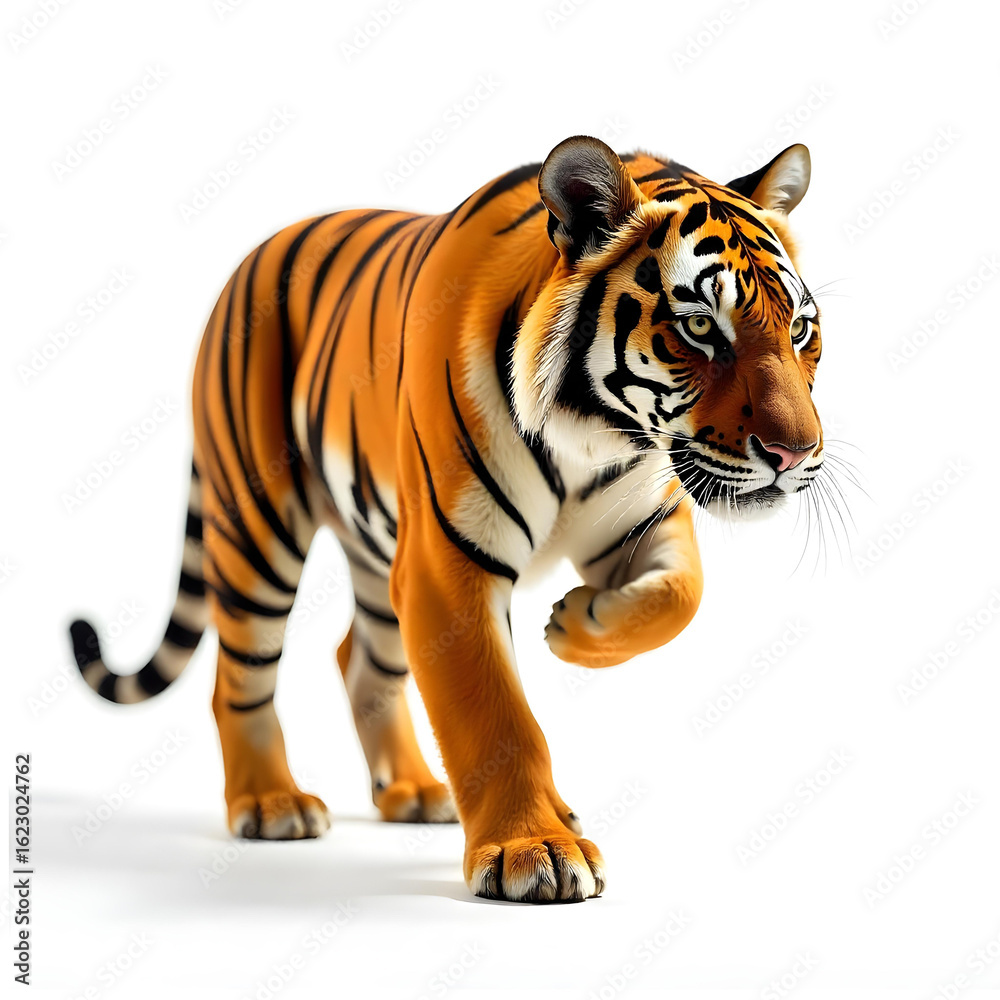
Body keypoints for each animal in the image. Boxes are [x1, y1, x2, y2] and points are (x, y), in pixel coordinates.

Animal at [70, 135, 825, 903]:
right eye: (699, 327)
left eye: (799, 329)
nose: (796, 453)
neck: (597, 436)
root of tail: (252, 257)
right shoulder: (448, 561)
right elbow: (492, 715)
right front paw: (536, 849)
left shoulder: (643, 518)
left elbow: (680, 598)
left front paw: (578, 624)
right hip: (259, 528)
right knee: (238, 678)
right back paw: (271, 803)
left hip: (378, 549)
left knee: (360, 660)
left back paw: (414, 791)